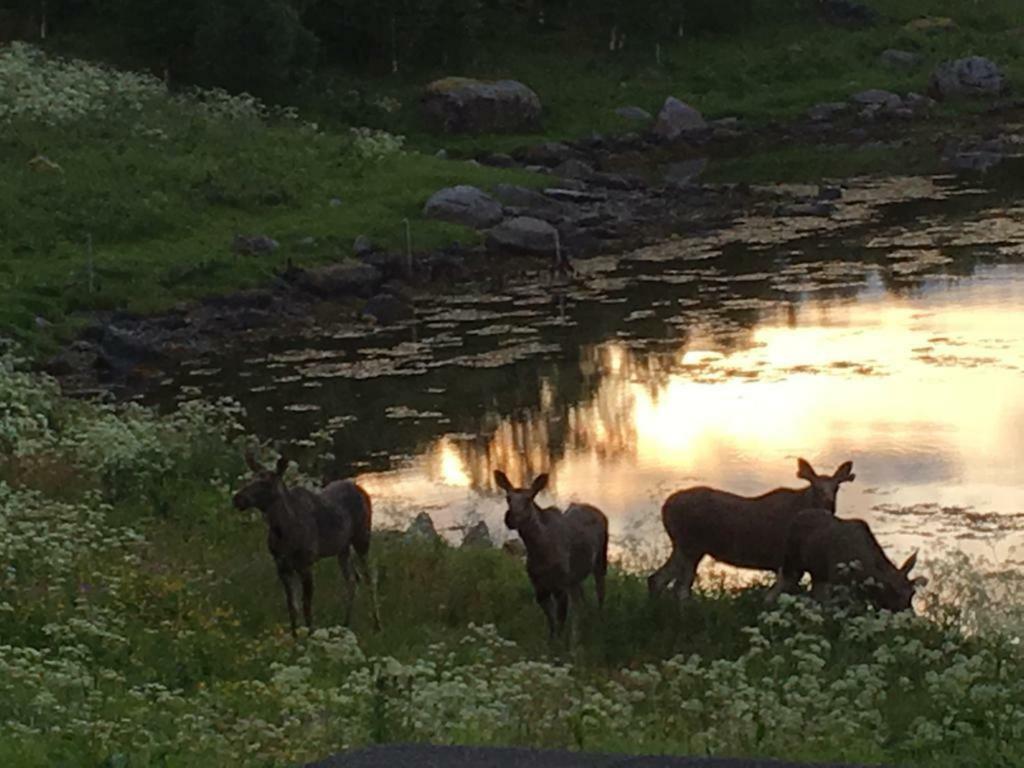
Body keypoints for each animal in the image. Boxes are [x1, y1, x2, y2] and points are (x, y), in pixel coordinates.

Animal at [232, 450, 380, 638]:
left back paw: (377, 625)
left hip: (362, 538)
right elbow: (292, 607)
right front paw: (295, 638)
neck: (283, 531)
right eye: (250, 478)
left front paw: (311, 636)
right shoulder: (282, 566)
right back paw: (346, 624)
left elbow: (306, 607)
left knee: (370, 577)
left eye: (265, 483)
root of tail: (362, 490)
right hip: (342, 547)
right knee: (353, 579)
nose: (237, 498)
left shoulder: (306, 564)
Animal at [493, 468, 606, 643]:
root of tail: (598, 511)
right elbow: (552, 623)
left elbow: (559, 621)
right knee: (580, 600)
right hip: (575, 577)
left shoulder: (560, 587)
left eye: (528, 499)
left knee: (599, 593)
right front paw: (552, 642)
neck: (538, 551)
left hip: (600, 560)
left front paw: (560, 644)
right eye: (508, 498)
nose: (509, 518)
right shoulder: (539, 588)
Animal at [647, 460, 856, 606]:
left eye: (837, 487)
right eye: (816, 487)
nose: (829, 503)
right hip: (691, 546)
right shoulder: (789, 563)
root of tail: (665, 507)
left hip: (685, 547)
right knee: (679, 588)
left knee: (657, 579)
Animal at [770, 512, 929, 614]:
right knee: (782, 584)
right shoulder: (836, 582)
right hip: (792, 563)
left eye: (912, 593)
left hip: (818, 573)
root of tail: (797, 517)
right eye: (894, 593)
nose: (910, 617)